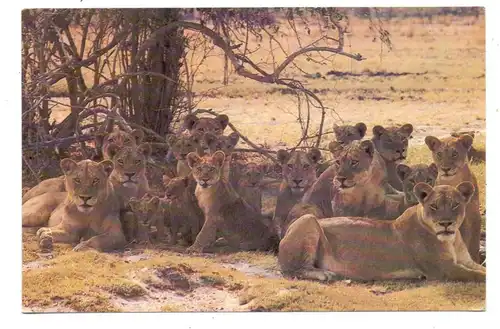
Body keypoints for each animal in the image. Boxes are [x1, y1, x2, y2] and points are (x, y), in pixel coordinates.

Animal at [278, 181, 484, 280]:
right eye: (434, 206)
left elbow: (481, 269)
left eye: (455, 204)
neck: (452, 240)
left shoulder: (466, 262)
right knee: (293, 269)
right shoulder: (443, 269)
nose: (445, 223)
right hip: (308, 219)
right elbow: (479, 275)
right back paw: (325, 274)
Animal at [424, 133, 482, 262]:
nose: (445, 169)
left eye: (454, 153)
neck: (452, 182)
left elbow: (472, 245)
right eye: (439, 154)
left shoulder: (473, 217)